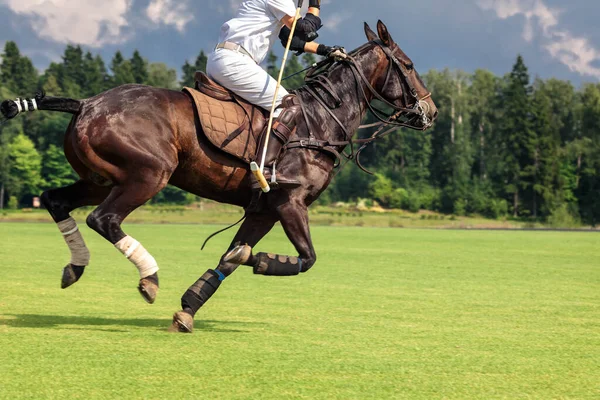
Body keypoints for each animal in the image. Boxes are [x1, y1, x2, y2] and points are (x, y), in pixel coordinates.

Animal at [2, 21, 438, 332]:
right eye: (409, 65)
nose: (430, 112)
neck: (320, 119)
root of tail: (87, 102)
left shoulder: (263, 209)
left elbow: (230, 256)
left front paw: (188, 309)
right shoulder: (291, 201)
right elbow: (305, 258)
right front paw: (254, 261)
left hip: (99, 178)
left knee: (57, 200)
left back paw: (75, 267)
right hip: (148, 174)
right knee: (103, 218)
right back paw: (149, 277)